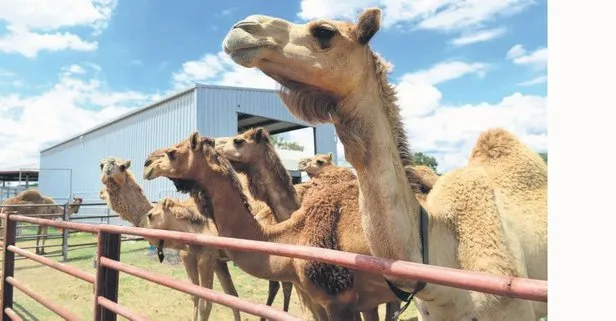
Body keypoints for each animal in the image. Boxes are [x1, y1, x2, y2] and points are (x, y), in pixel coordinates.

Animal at [97, 156, 242, 318]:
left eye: (122, 167)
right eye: (101, 165)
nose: (108, 171)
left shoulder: (207, 256)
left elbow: (206, 304)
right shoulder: (205, 258)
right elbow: (223, 297)